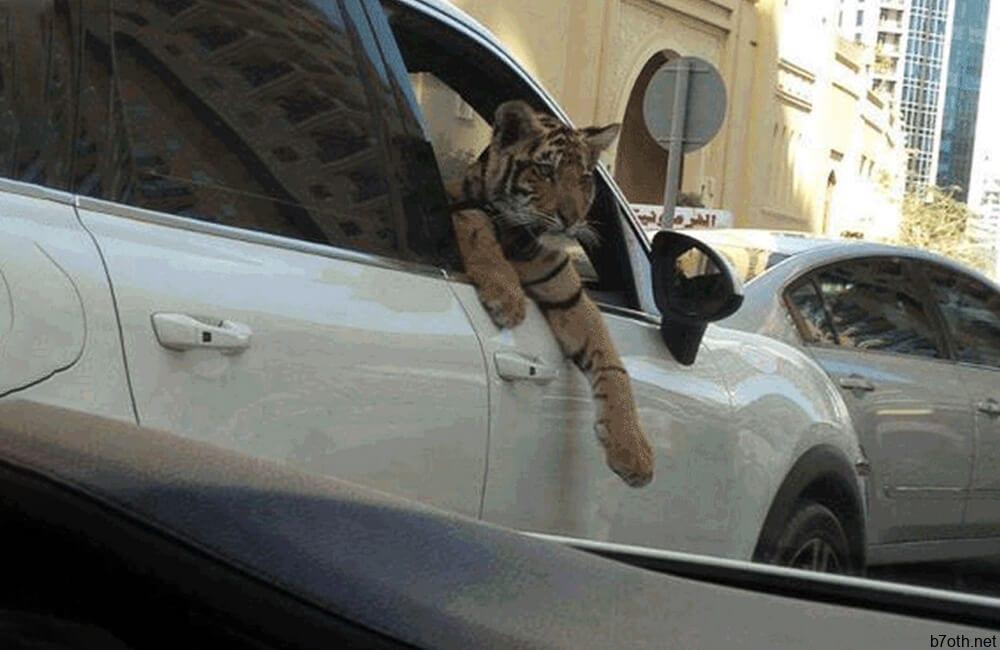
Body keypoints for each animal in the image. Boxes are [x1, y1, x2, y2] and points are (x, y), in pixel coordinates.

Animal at [447, 100, 654, 488]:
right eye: (545, 171)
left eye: (584, 178)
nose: (571, 218)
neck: (520, 239)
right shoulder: (456, 205)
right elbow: (475, 224)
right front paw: (507, 297)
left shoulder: (569, 296)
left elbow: (612, 364)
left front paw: (632, 451)